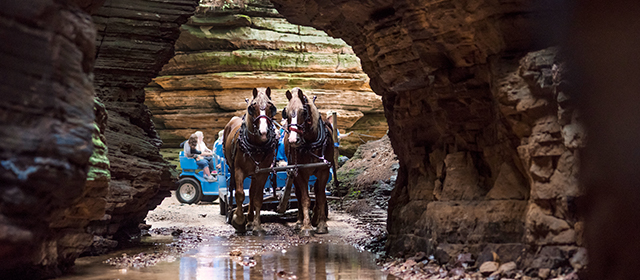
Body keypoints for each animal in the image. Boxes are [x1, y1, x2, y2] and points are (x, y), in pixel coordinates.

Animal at [222, 87, 278, 234]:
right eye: (253, 107)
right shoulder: (238, 170)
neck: (257, 147)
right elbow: (240, 194)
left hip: (255, 173)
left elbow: (257, 197)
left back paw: (251, 220)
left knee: (252, 193)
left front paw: (257, 225)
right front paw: (238, 221)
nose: (263, 132)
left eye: (271, 107)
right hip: (232, 167)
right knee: (234, 190)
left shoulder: (262, 173)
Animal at [284, 88, 338, 236]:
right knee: (298, 194)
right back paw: (299, 222)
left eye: (303, 112)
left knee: (318, 192)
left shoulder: (324, 170)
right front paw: (306, 227)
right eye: (286, 112)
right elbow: (305, 199)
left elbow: (321, 197)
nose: (293, 140)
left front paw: (321, 225)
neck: (310, 143)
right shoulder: (301, 172)